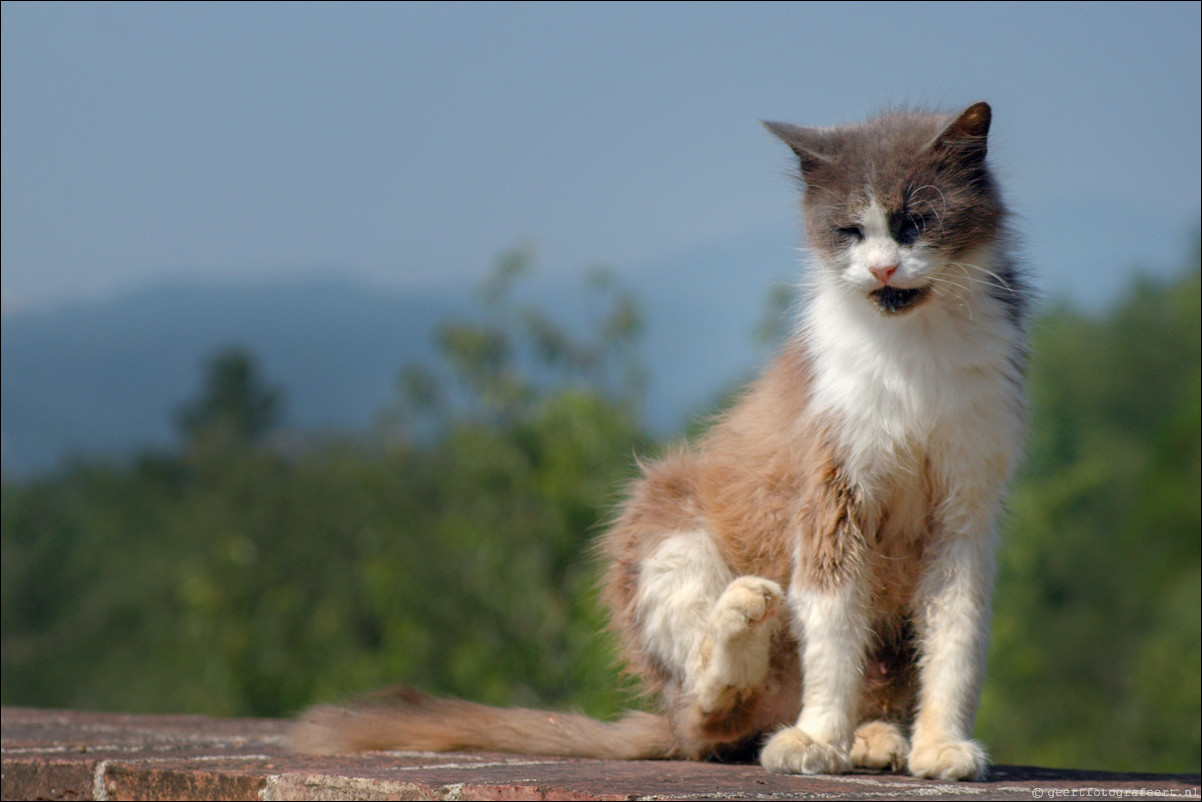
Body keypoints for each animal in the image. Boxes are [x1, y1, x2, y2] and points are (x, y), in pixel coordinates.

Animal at [288, 102, 1024, 783]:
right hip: (667, 521)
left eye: (914, 222)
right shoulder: (830, 488)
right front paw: (817, 738)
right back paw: (748, 634)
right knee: (713, 713)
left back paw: (874, 736)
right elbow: (832, 626)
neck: (914, 355)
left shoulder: (966, 506)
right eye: (850, 231)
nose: (881, 269)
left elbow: (956, 634)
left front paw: (942, 746)